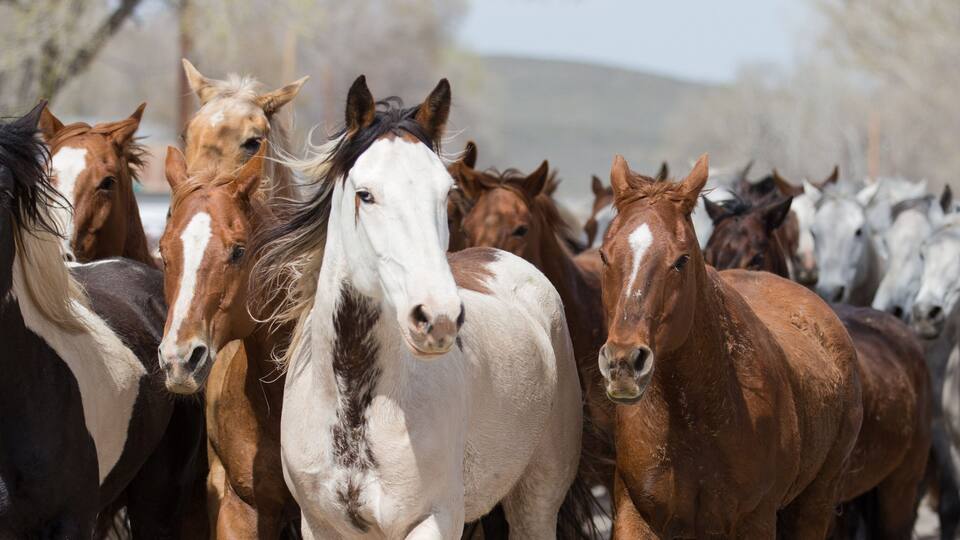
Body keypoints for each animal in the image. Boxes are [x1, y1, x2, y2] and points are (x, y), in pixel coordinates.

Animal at [249, 76, 589, 538]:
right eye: (365, 194)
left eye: (445, 193)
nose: (437, 318)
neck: (356, 405)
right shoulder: (320, 525)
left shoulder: (432, 519)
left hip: (536, 500)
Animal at [597, 153, 863, 538]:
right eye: (604, 255)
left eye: (681, 259)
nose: (623, 362)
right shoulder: (637, 514)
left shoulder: (755, 519)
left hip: (815, 501)